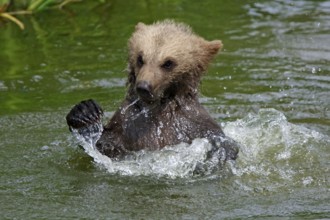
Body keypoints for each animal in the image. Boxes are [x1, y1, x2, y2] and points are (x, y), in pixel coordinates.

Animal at [66, 19, 237, 162]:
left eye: (168, 63)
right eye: (140, 58)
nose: (144, 87)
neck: (157, 107)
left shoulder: (192, 123)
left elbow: (219, 138)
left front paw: (220, 151)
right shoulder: (127, 124)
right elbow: (104, 143)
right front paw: (86, 111)